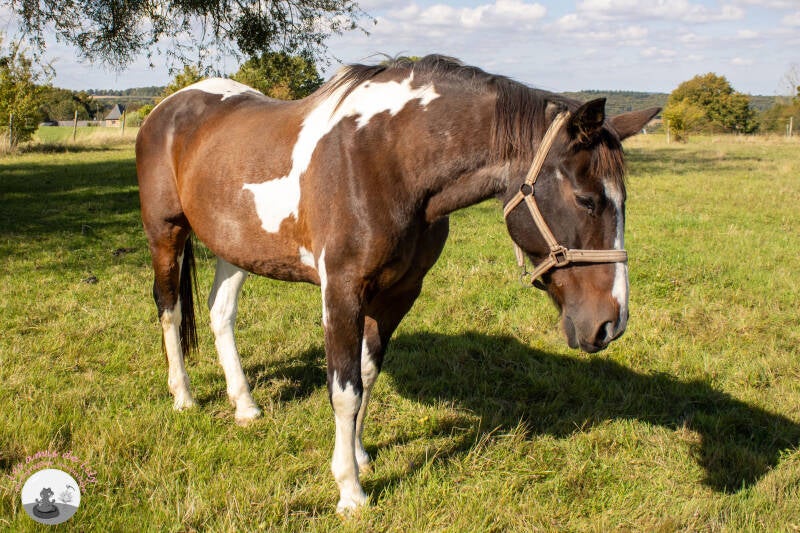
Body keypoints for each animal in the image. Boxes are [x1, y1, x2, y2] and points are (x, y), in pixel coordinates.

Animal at [136, 54, 659, 514]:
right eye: (587, 199)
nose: (610, 324)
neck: (386, 160)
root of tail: (167, 108)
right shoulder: (340, 293)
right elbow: (343, 389)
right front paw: (350, 493)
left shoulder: (397, 294)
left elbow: (366, 377)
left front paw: (361, 457)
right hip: (166, 233)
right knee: (169, 307)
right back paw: (183, 396)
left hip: (234, 247)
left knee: (220, 312)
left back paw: (245, 406)